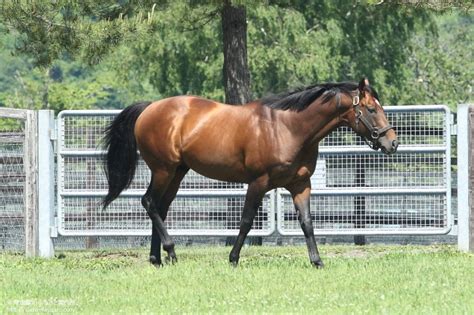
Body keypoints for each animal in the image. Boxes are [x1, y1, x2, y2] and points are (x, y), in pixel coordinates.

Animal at [103, 78, 396, 268]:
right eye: (372, 109)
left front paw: (317, 261)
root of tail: (150, 108)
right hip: (163, 169)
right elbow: (245, 221)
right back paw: (171, 252)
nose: (392, 142)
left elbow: (307, 223)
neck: (288, 127)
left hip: (177, 171)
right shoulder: (258, 183)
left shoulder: (301, 184)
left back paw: (158, 259)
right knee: (150, 202)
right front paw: (233, 259)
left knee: (160, 207)